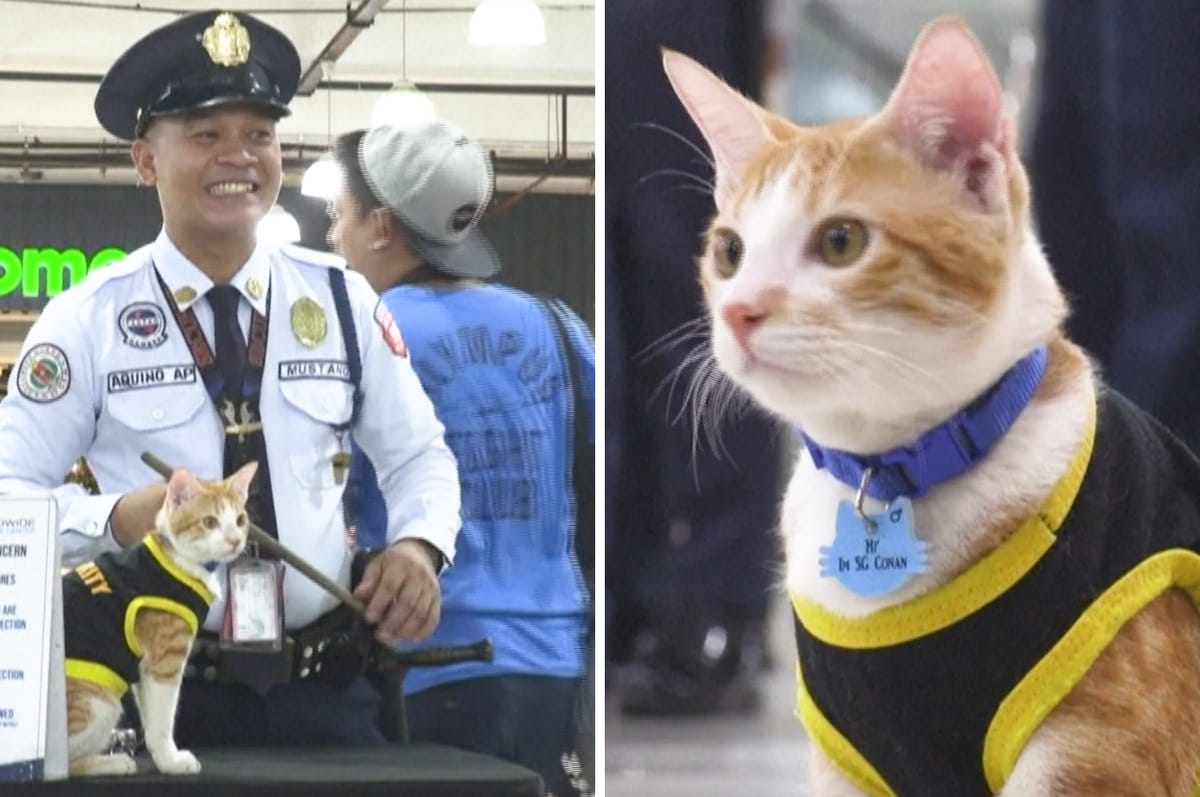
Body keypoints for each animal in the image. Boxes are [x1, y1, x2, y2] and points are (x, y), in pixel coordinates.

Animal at [63, 463, 255, 772]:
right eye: (210, 522)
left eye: (240, 520)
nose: (235, 540)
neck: (177, 558)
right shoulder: (165, 659)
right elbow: (162, 720)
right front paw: (171, 760)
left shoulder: (142, 668)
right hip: (99, 704)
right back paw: (114, 762)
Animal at [662, 12, 1200, 797]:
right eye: (729, 251)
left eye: (842, 240)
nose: (737, 312)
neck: (892, 468)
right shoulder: (848, 755)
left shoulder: (1098, 741)